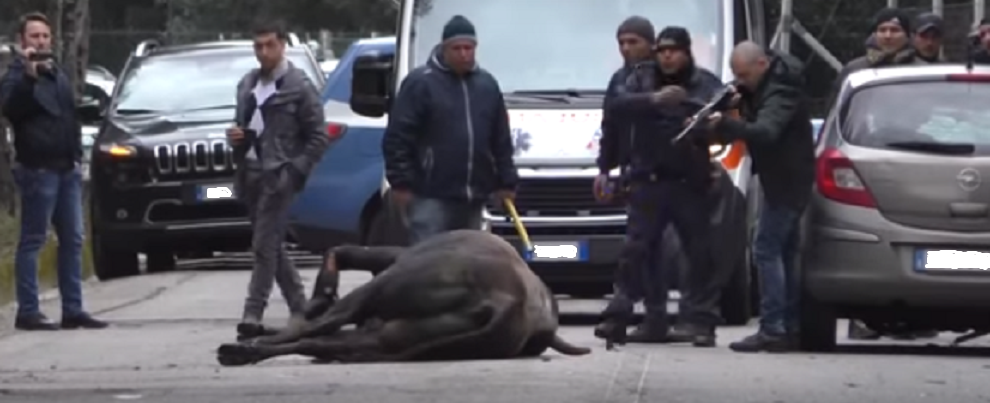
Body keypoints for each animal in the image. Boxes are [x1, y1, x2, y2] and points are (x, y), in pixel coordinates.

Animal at [219, 230, 588, 366]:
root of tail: (507, 301)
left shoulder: (388, 260)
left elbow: (341, 252)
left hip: (381, 288)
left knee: (317, 329)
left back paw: (243, 347)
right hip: (392, 337)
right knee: (317, 340)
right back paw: (245, 352)